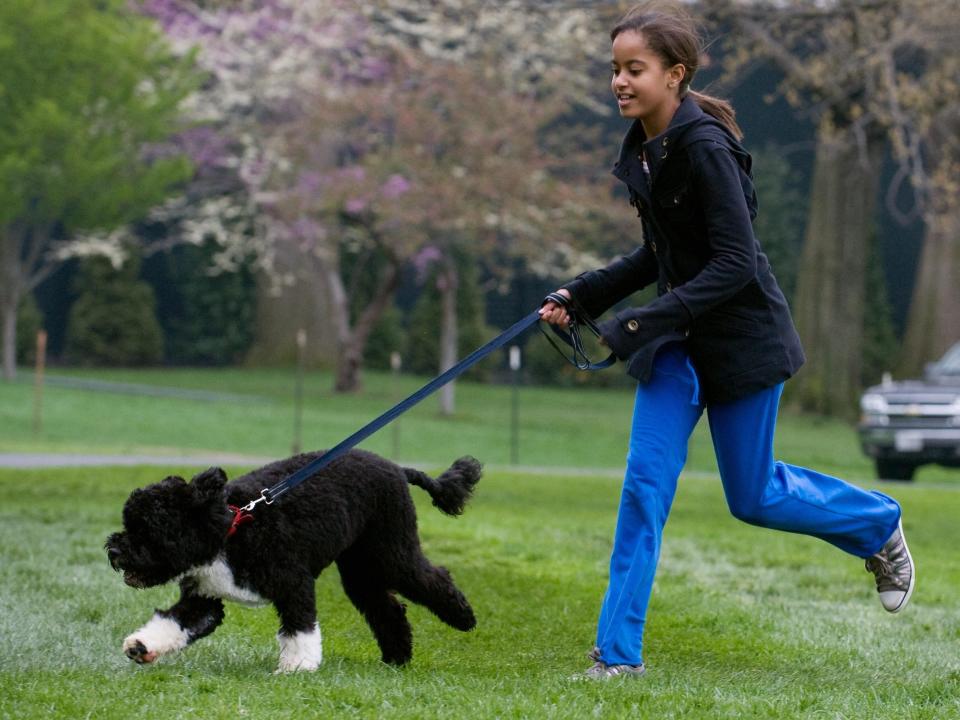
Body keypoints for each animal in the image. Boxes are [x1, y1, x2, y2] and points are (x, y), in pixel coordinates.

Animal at [107, 452, 480, 672]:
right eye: (129, 523)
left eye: (149, 527)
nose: (114, 551)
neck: (229, 530)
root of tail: (397, 469)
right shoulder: (204, 598)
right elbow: (176, 621)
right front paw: (142, 646)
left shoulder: (294, 583)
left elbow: (299, 628)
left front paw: (297, 666)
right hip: (359, 568)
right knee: (387, 608)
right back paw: (396, 658)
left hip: (392, 550)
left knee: (431, 577)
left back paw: (463, 618)